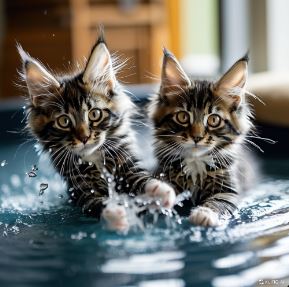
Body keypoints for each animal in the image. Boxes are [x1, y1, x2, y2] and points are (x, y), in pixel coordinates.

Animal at [19, 35, 176, 233]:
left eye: (94, 114)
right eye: (64, 121)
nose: (84, 138)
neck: (94, 158)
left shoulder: (126, 166)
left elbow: (142, 179)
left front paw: (161, 191)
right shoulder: (82, 190)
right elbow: (97, 203)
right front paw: (115, 214)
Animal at [147, 50, 253, 230]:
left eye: (213, 120)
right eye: (183, 117)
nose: (197, 137)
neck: (196, 163)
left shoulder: (228, 190)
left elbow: (218, 202)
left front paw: (204, 214)